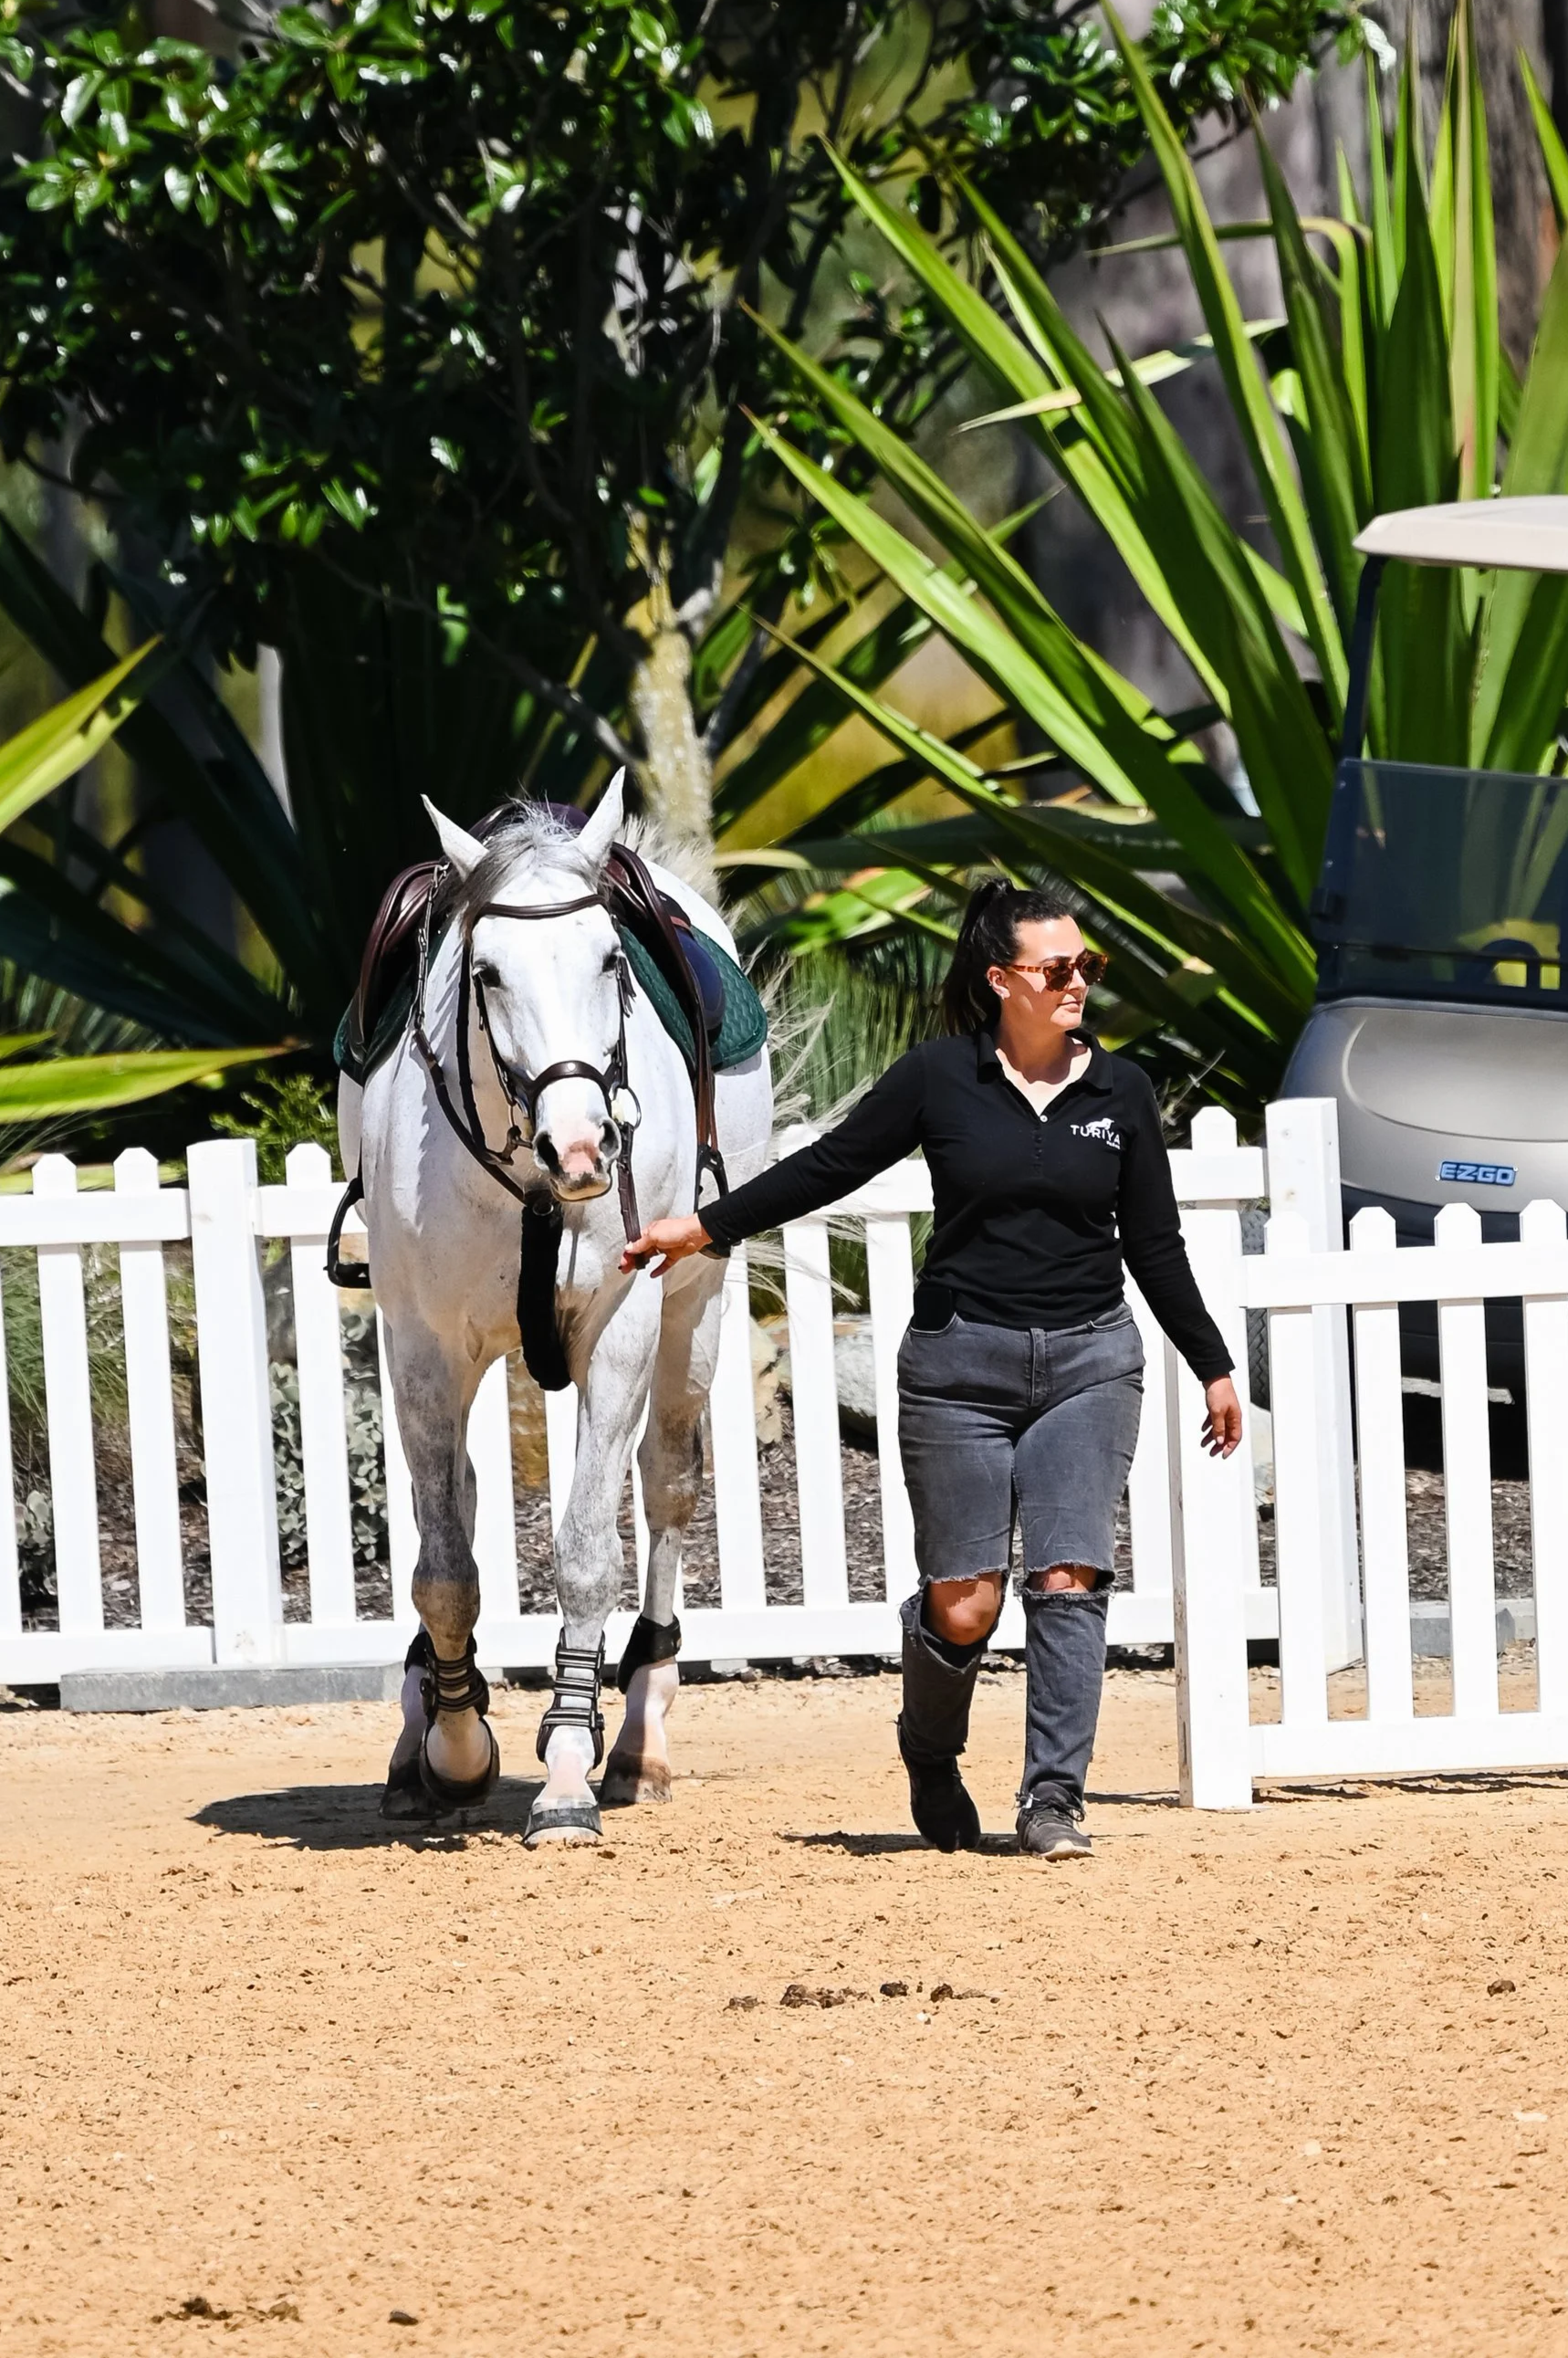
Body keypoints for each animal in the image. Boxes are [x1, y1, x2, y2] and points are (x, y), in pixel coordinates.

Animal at [336, 775, 773, 1844]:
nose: (580, 1147)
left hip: (694, 1315)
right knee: (456, 1501)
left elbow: (582, 1553)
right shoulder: (422, 1349)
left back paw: (640, 1734)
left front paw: (569, 1765)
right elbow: (444, 1565)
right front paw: (454, 1744)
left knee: (667, 1489)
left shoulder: (618, 1336)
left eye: (611, 960)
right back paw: (422, 1725)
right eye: (487, 972)